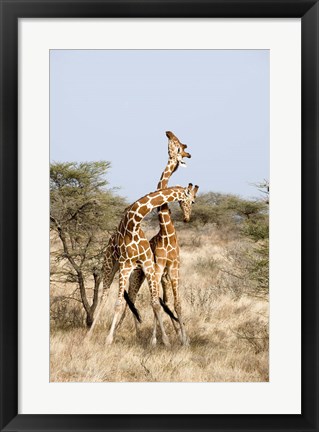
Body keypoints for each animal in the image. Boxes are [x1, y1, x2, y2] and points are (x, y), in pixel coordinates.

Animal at [87, 132, 191, 338]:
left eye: (179, 146)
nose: (168, 132)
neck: (134, 222)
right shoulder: (129, 265)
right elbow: (119, 303)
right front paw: (109, 339)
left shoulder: (151, 266)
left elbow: (156, 303)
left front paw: (166, 340)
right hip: (111, 265)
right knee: (106, 295)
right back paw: (91, 334)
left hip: (138, 273)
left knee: (138, 299)